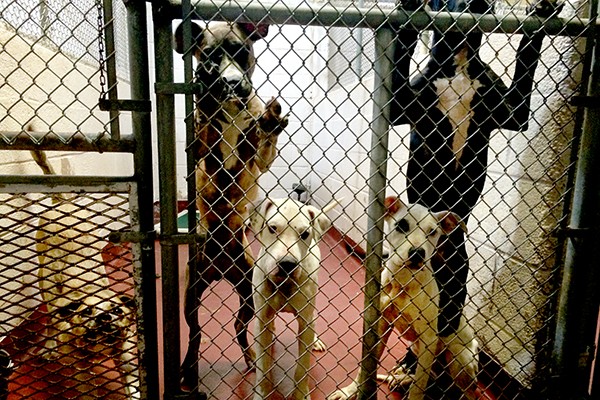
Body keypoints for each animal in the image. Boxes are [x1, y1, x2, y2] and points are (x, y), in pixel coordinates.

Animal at [172, 19, 290, 390]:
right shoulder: (201, 156)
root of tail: (221, 268)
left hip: (248, 291)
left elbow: (259, 142)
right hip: (190, 295)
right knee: (195, 333)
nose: (233, 83)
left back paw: (250, 358)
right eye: (209, 57)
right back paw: (188, 371)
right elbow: (208, 134)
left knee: (239, 326)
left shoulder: (257, 162)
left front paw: (269, 122)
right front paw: (206, 104)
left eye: (241, 51)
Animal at [251, 198, 340, 400]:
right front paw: (262, 392)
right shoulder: (261, 320)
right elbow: (262, 367)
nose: (287, 264)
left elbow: (302, 367)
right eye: (272, 228)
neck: (284, 284)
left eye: (305, 233)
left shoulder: (305, 322)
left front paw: (300, 394)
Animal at [328, 196, 478, 400]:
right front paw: (350, 390)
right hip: (417, 349)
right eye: (401, 225)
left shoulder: (429, 339)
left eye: (432, 231)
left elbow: (419, 387)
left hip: (459, 357)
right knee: (432, 379)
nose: (417, 253)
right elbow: (366, 366)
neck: (403, 282)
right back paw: (403, 379)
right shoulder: (381, 325)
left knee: (462, 390)